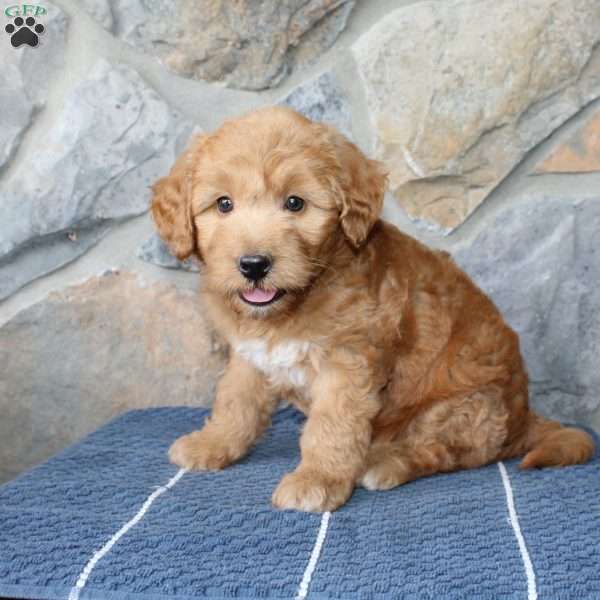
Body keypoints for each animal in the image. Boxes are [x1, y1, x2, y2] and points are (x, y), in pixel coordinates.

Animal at [151, 106, 596, 510]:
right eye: (223, 204)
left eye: (295, 203)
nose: (254, 264)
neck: (295, 304)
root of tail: (524, 418)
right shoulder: (250, 356)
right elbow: (235, 402)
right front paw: (213, 443)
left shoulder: (348, 364)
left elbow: (331, 428)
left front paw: (317, 479)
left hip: (464, 409)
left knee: (441, 452)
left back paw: (386, 463)